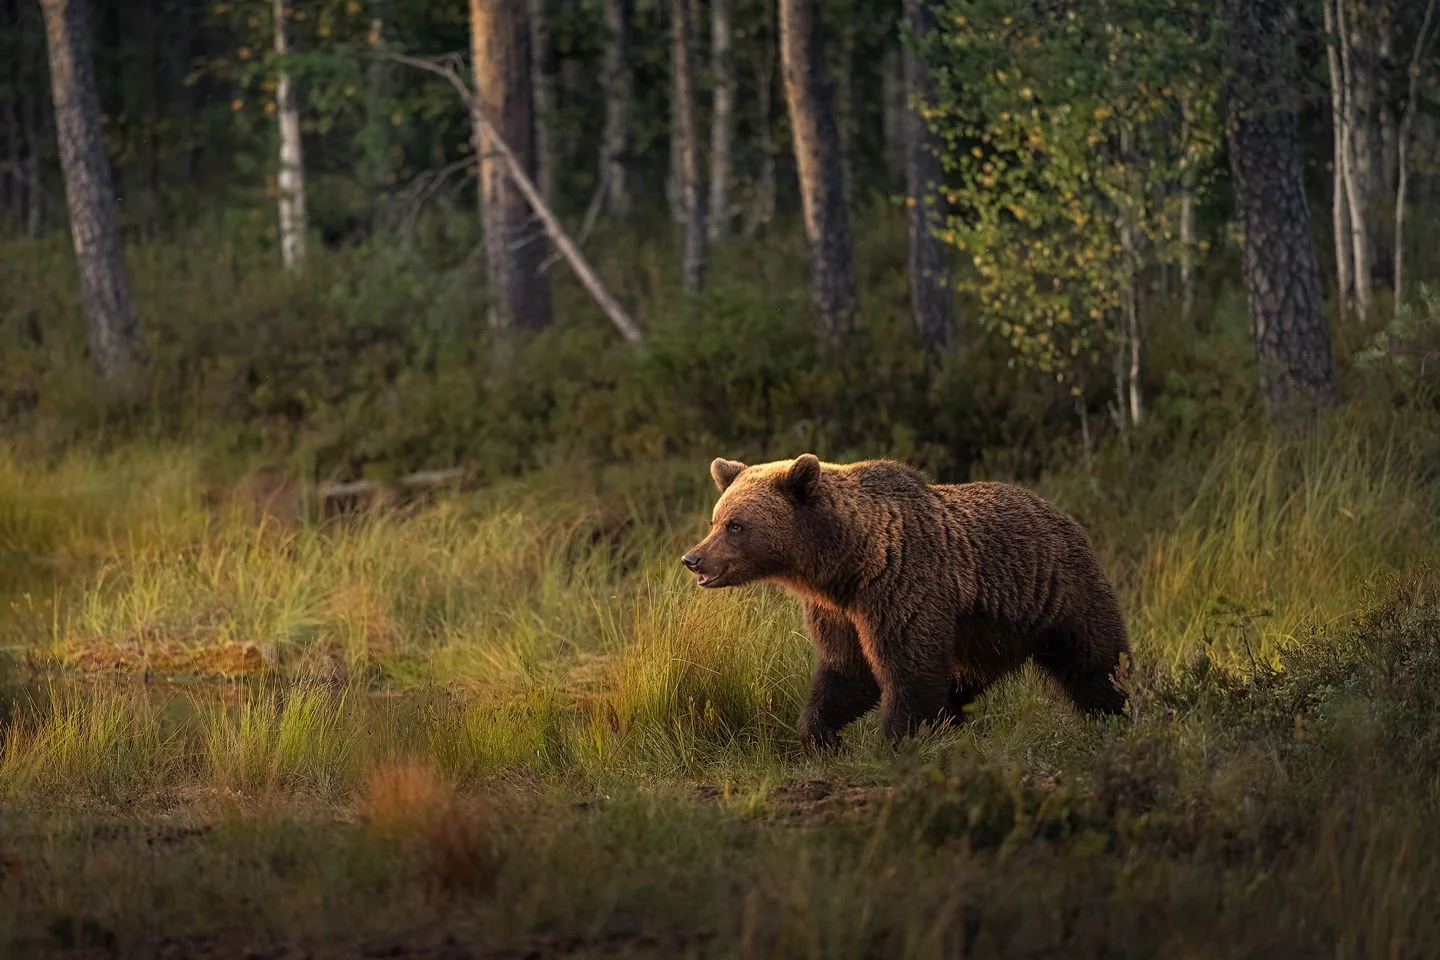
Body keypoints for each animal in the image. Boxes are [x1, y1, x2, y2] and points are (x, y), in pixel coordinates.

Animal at [680, 454, 1130, 748]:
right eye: (716, 520)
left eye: (736, 525)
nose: (693, 558)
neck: (848, 564)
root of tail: (1060, 513)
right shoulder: (838, 610)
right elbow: (847, 670)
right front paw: (820, 735)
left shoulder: (902, 587)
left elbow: (909, 672)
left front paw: (893, 741)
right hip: (983, 635)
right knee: (962, 679)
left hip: (1060, 593)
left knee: (1094, 662)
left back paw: (1116, 714)